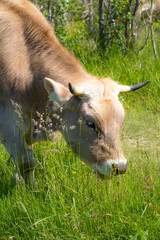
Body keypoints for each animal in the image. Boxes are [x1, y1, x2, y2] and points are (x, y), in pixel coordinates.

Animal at [0, 0, 150, 188]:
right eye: (90, 123)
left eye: (121, 121)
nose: (119, 167)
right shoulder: (8, 123)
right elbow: (26, 162)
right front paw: (31, 191)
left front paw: (17, 182)